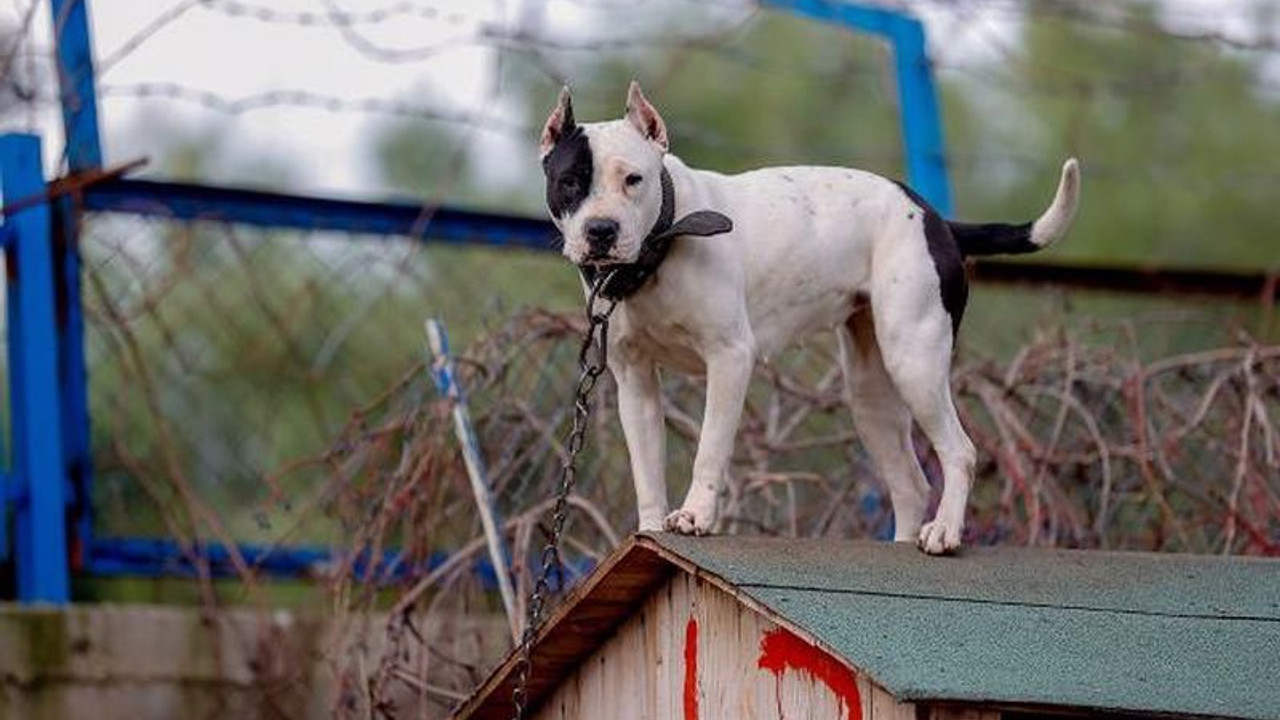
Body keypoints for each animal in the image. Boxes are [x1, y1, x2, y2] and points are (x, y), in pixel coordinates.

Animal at [540, 81, 1080, 550]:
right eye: (569, 182)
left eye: (634, 179)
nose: (601, 230)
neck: (661, 243)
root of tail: (934, 219)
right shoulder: (634, 381)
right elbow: (646, 467)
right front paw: (650, 533)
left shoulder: (730, 358)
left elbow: (710, 449)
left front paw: (695, 516)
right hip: (871, 391)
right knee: (910, 483)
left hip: (915, 361)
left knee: (960, 451)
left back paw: (944, 532)